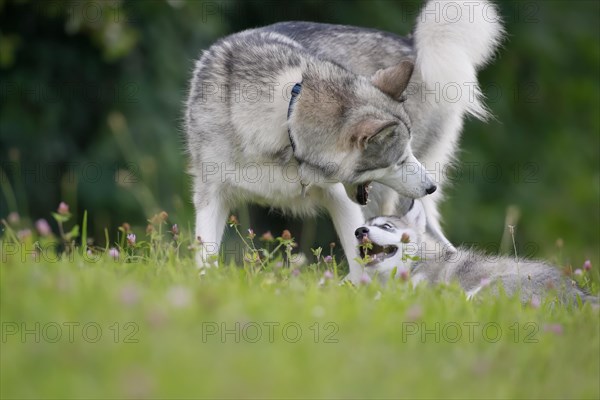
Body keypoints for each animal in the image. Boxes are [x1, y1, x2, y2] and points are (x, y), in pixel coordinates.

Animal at [185, 0, 504, 282]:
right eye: (399, 160)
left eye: (407, 153)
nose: (430, 187)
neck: (285, 117)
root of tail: (410, 42)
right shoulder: (211, 196)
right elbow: (205, 256)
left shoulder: (340, 200)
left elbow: (360, 258)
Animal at [356, 200, 596, 304]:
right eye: (362, 226)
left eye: (386, 226)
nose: (359, 231)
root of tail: (578, 293)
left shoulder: (422, 287)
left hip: (491, 287)